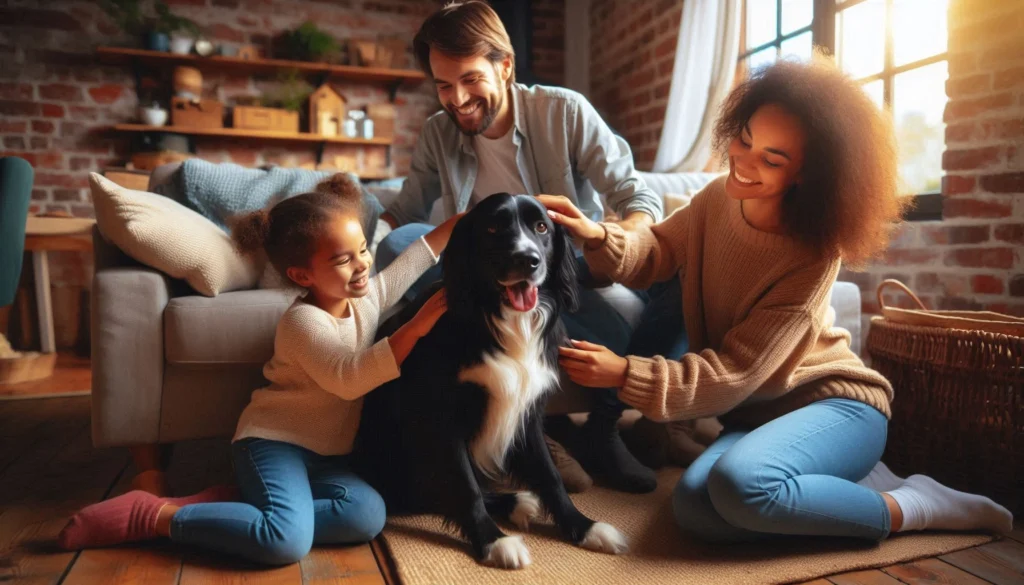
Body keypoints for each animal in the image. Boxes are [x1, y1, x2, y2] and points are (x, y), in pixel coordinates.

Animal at [360, 194, 630, 569]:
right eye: (492, 228)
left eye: (541, 227)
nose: (528, 260)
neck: (500, 319)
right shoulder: (439, 419)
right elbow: (465, 486)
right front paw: (492, 542)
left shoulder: (528, 412)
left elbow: (550, 475)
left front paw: (583, 527)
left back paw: (516, 501)